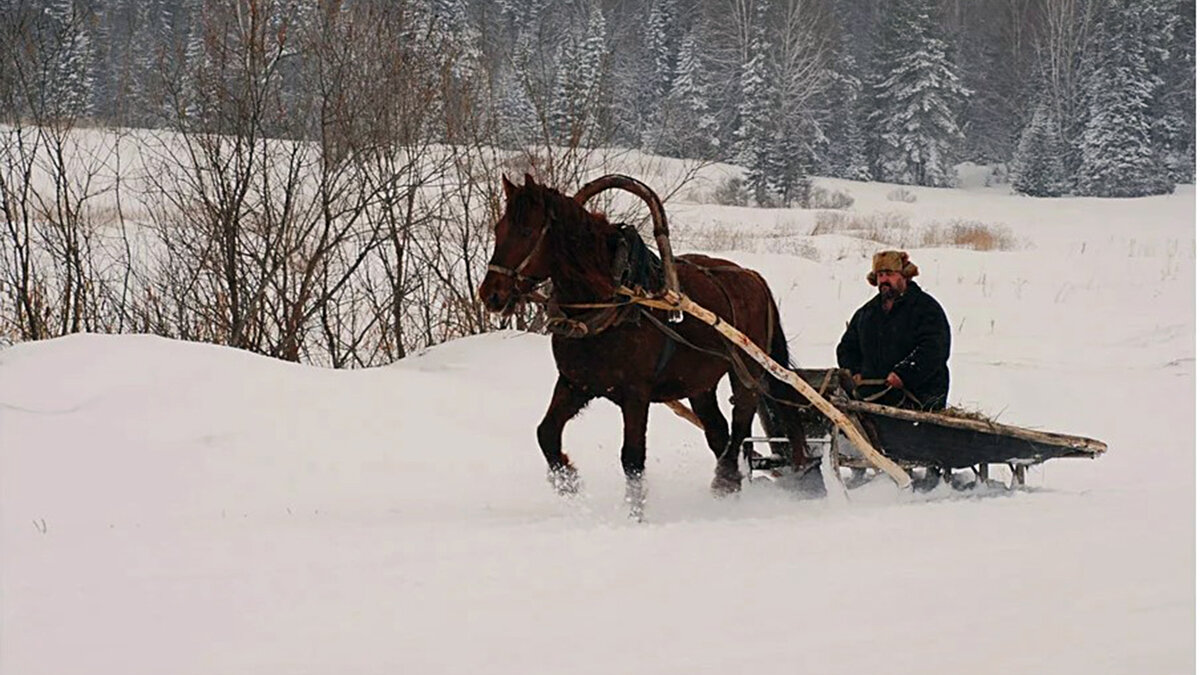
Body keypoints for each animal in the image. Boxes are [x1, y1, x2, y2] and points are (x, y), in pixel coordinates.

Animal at [475, 172, 806, 514]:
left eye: (526, 231)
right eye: (498, 229)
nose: (492, 294)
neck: (612, 302)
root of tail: (752, 277)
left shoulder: (636, 393)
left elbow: (632, 459)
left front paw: (635, 515)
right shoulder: (575, 384)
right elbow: (547, 434)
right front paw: (569, 482)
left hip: (747, 370)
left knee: (741, 421)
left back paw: (725, 479)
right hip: (698, 384)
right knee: (718, 431)